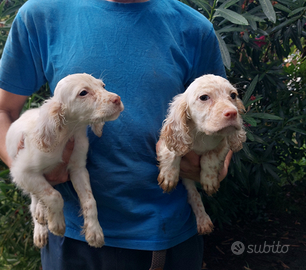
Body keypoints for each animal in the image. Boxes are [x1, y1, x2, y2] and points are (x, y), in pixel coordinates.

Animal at [5, 73, 123, 248]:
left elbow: (90, 200)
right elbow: (54, 196)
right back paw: (40, 225)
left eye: (103, 86)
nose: (117, 99)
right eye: (83, 93)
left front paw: (94, 232)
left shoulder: (78, 169)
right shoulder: (21, 172)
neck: (70, 132)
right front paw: (57, 224)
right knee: (35, 199)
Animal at [158, 74, 246, 234]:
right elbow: (172, 153)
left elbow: (210, 157)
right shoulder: (167, 140)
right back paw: (203, 220)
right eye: (204, 97)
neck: (202, 134)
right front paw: (168, 177)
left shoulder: (224, 144)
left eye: (233, 95)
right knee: (193, 194)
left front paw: (209, 180)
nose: (233, 113)